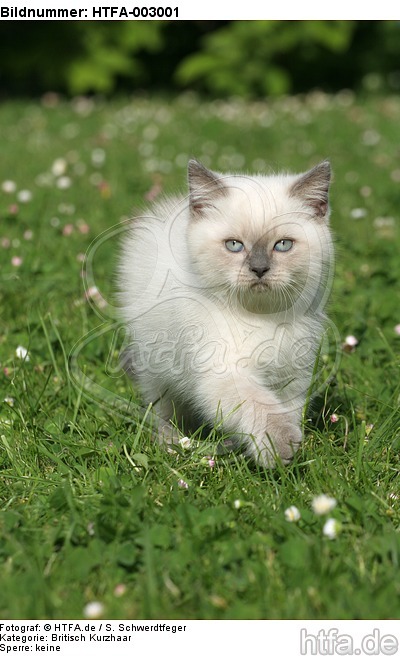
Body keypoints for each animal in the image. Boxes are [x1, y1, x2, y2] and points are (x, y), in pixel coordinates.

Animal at [117, 159, 332, 466]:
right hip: (157, 364)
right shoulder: (224, 371)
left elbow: (287, 410)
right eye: (234, 245)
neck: (262, 318)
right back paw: (170, 442)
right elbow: (259, 406)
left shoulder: (293, 375)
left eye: (283, 245)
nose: (259, 269)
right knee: (163, 410)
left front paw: (289, 461)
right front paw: (279, 448)